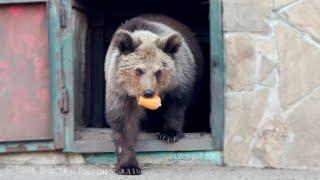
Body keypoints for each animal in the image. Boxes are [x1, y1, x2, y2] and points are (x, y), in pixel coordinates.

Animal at [105, 14, 205, 175]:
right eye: (138, 70)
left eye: (158, 71)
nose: (148, 92)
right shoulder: (120, 91)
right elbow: (124, 122)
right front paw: (128, 166)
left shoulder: (179, 80)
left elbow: (176, 106)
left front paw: (169, 134)